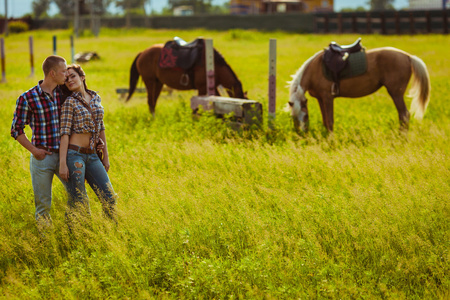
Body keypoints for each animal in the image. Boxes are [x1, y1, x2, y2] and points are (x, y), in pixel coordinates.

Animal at [290, 46, 430, 131]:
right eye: (293, 118)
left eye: (306, 116)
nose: (302, 136)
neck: (314, 69)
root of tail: (408, 56)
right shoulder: (321, 99)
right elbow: (325, 122)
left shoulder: (328, 98)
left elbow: (330, 122)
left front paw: (331, 143)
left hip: (396, 93)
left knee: (404, 116)